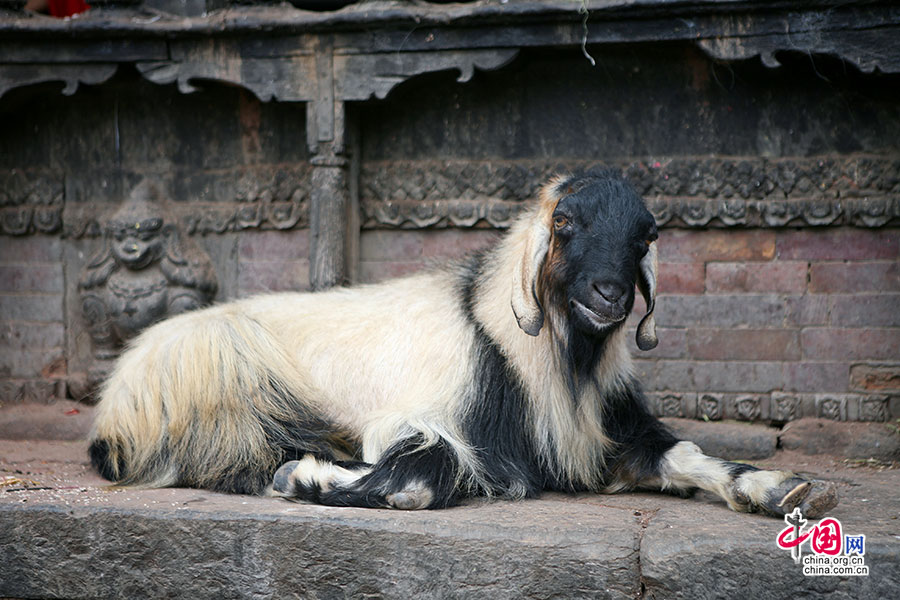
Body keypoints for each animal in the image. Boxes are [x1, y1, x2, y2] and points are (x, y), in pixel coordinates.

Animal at [88, 169, 840, 516]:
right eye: (564, 224)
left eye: (645, 236)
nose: (610, 295)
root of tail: (111, 409)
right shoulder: (409, 420)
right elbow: (425, 474)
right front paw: (304, 476)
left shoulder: (613, 432)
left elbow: (683, 452)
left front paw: (780, 488)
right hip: (225, 362)